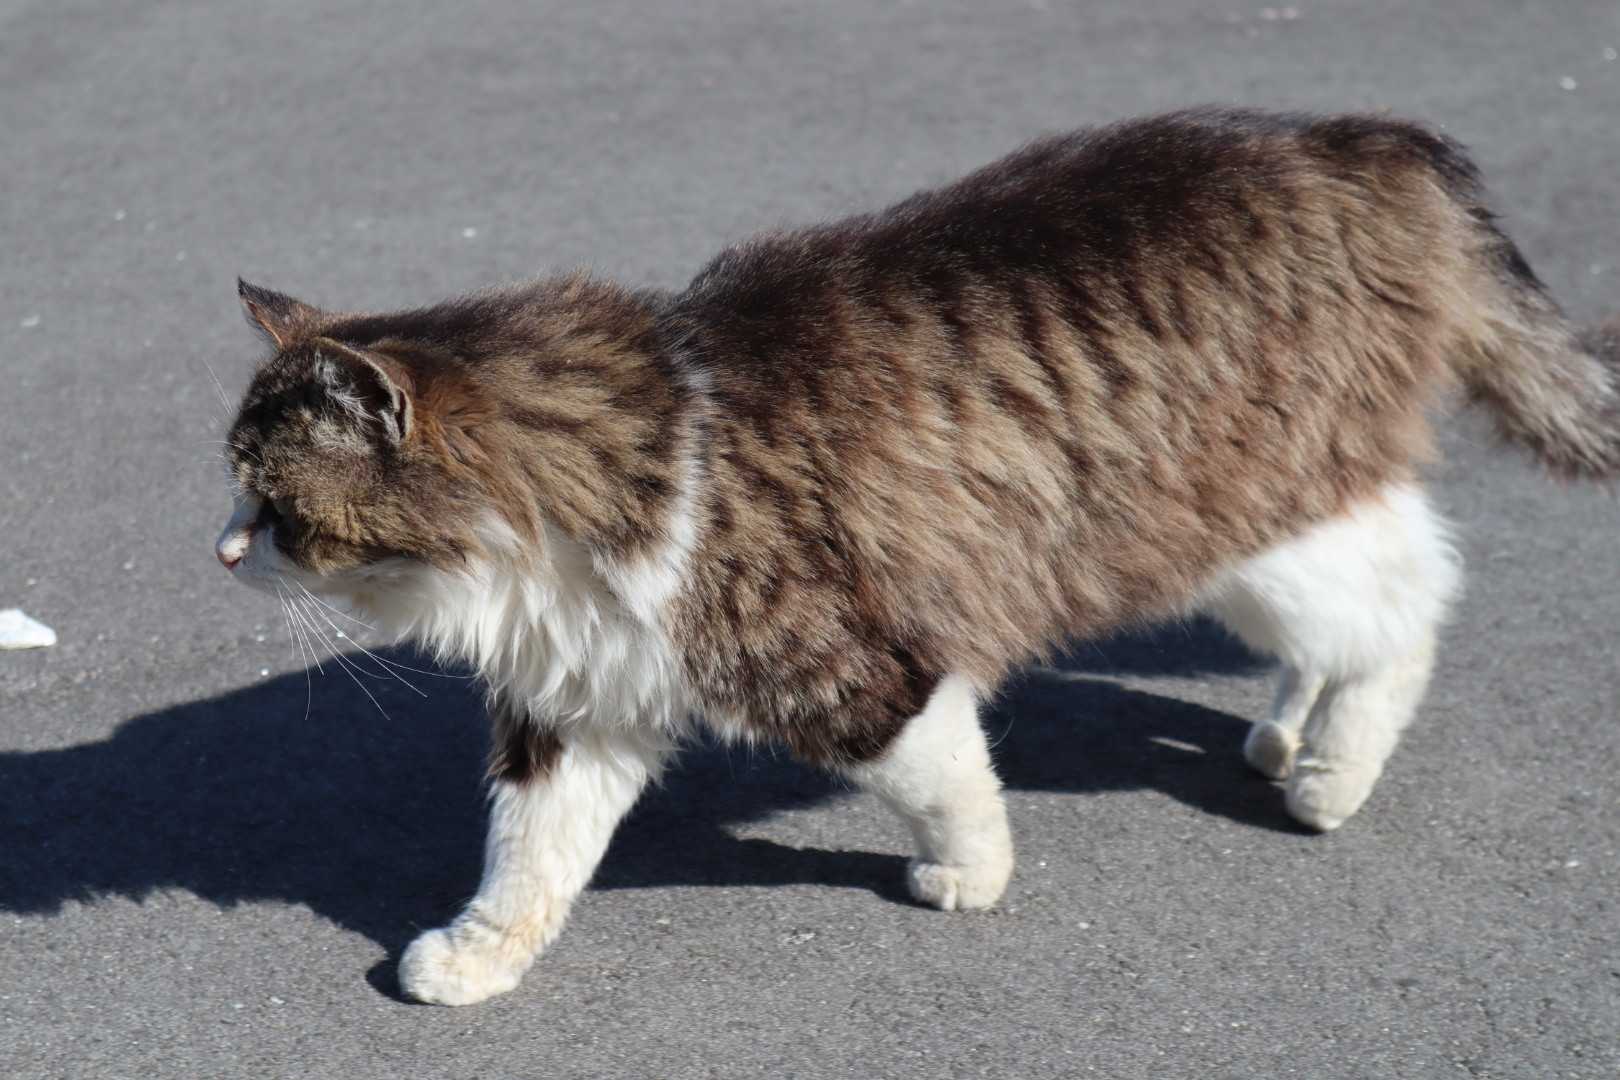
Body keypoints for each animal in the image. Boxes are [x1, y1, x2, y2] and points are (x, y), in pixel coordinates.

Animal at [216, 108, 1619, 1006]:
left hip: (1252, 526)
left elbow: (943, 778)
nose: (223, 551)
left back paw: (1332, 771)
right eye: (234, 482)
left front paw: (969, 874)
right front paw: (481, 957)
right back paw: (1286, 733)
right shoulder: (578, 708)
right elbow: (528, 859)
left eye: (274, 502)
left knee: (1412, 606)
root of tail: (1356, 143)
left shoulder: (845, 668)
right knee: (1372, 597)